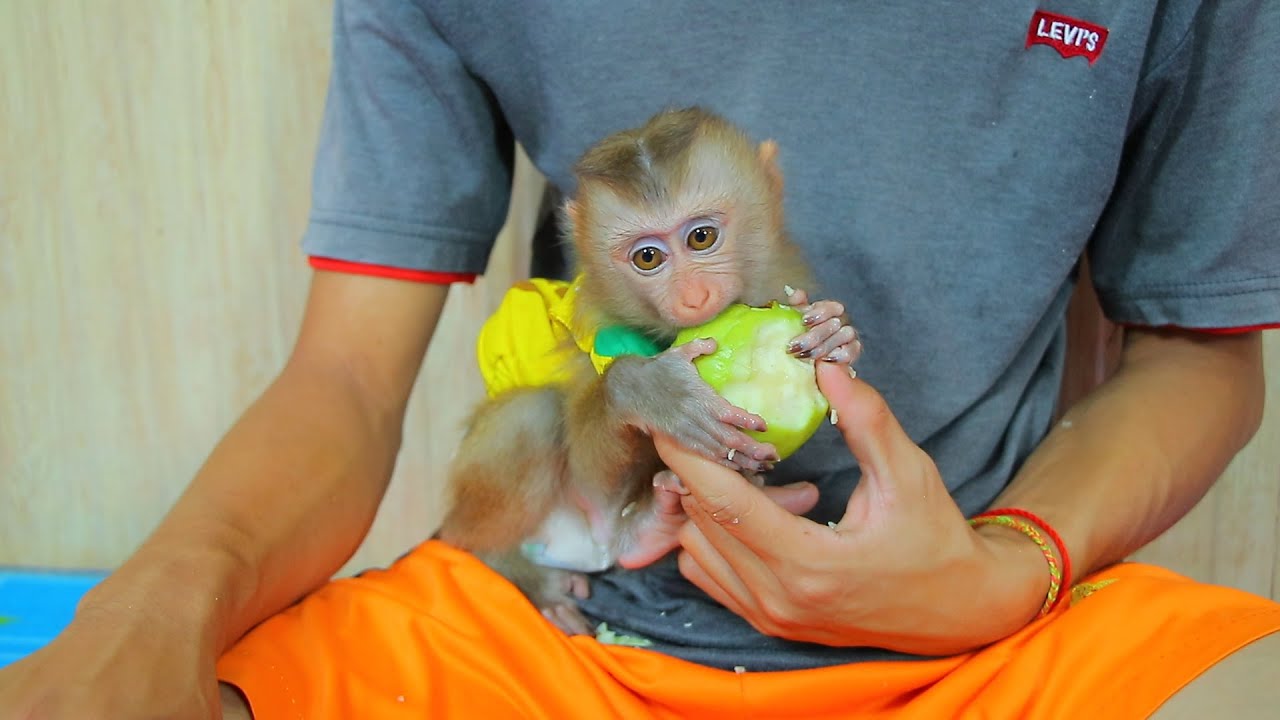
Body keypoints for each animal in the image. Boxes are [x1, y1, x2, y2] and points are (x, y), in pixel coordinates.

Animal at [436, 107, 860, 635]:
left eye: (701, 237)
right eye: (648, 257)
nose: (693, 297)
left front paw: (833, 334)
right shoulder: (601, 333)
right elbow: (593, 473)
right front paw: (651, 391)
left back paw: (652, 529)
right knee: (535, 419)